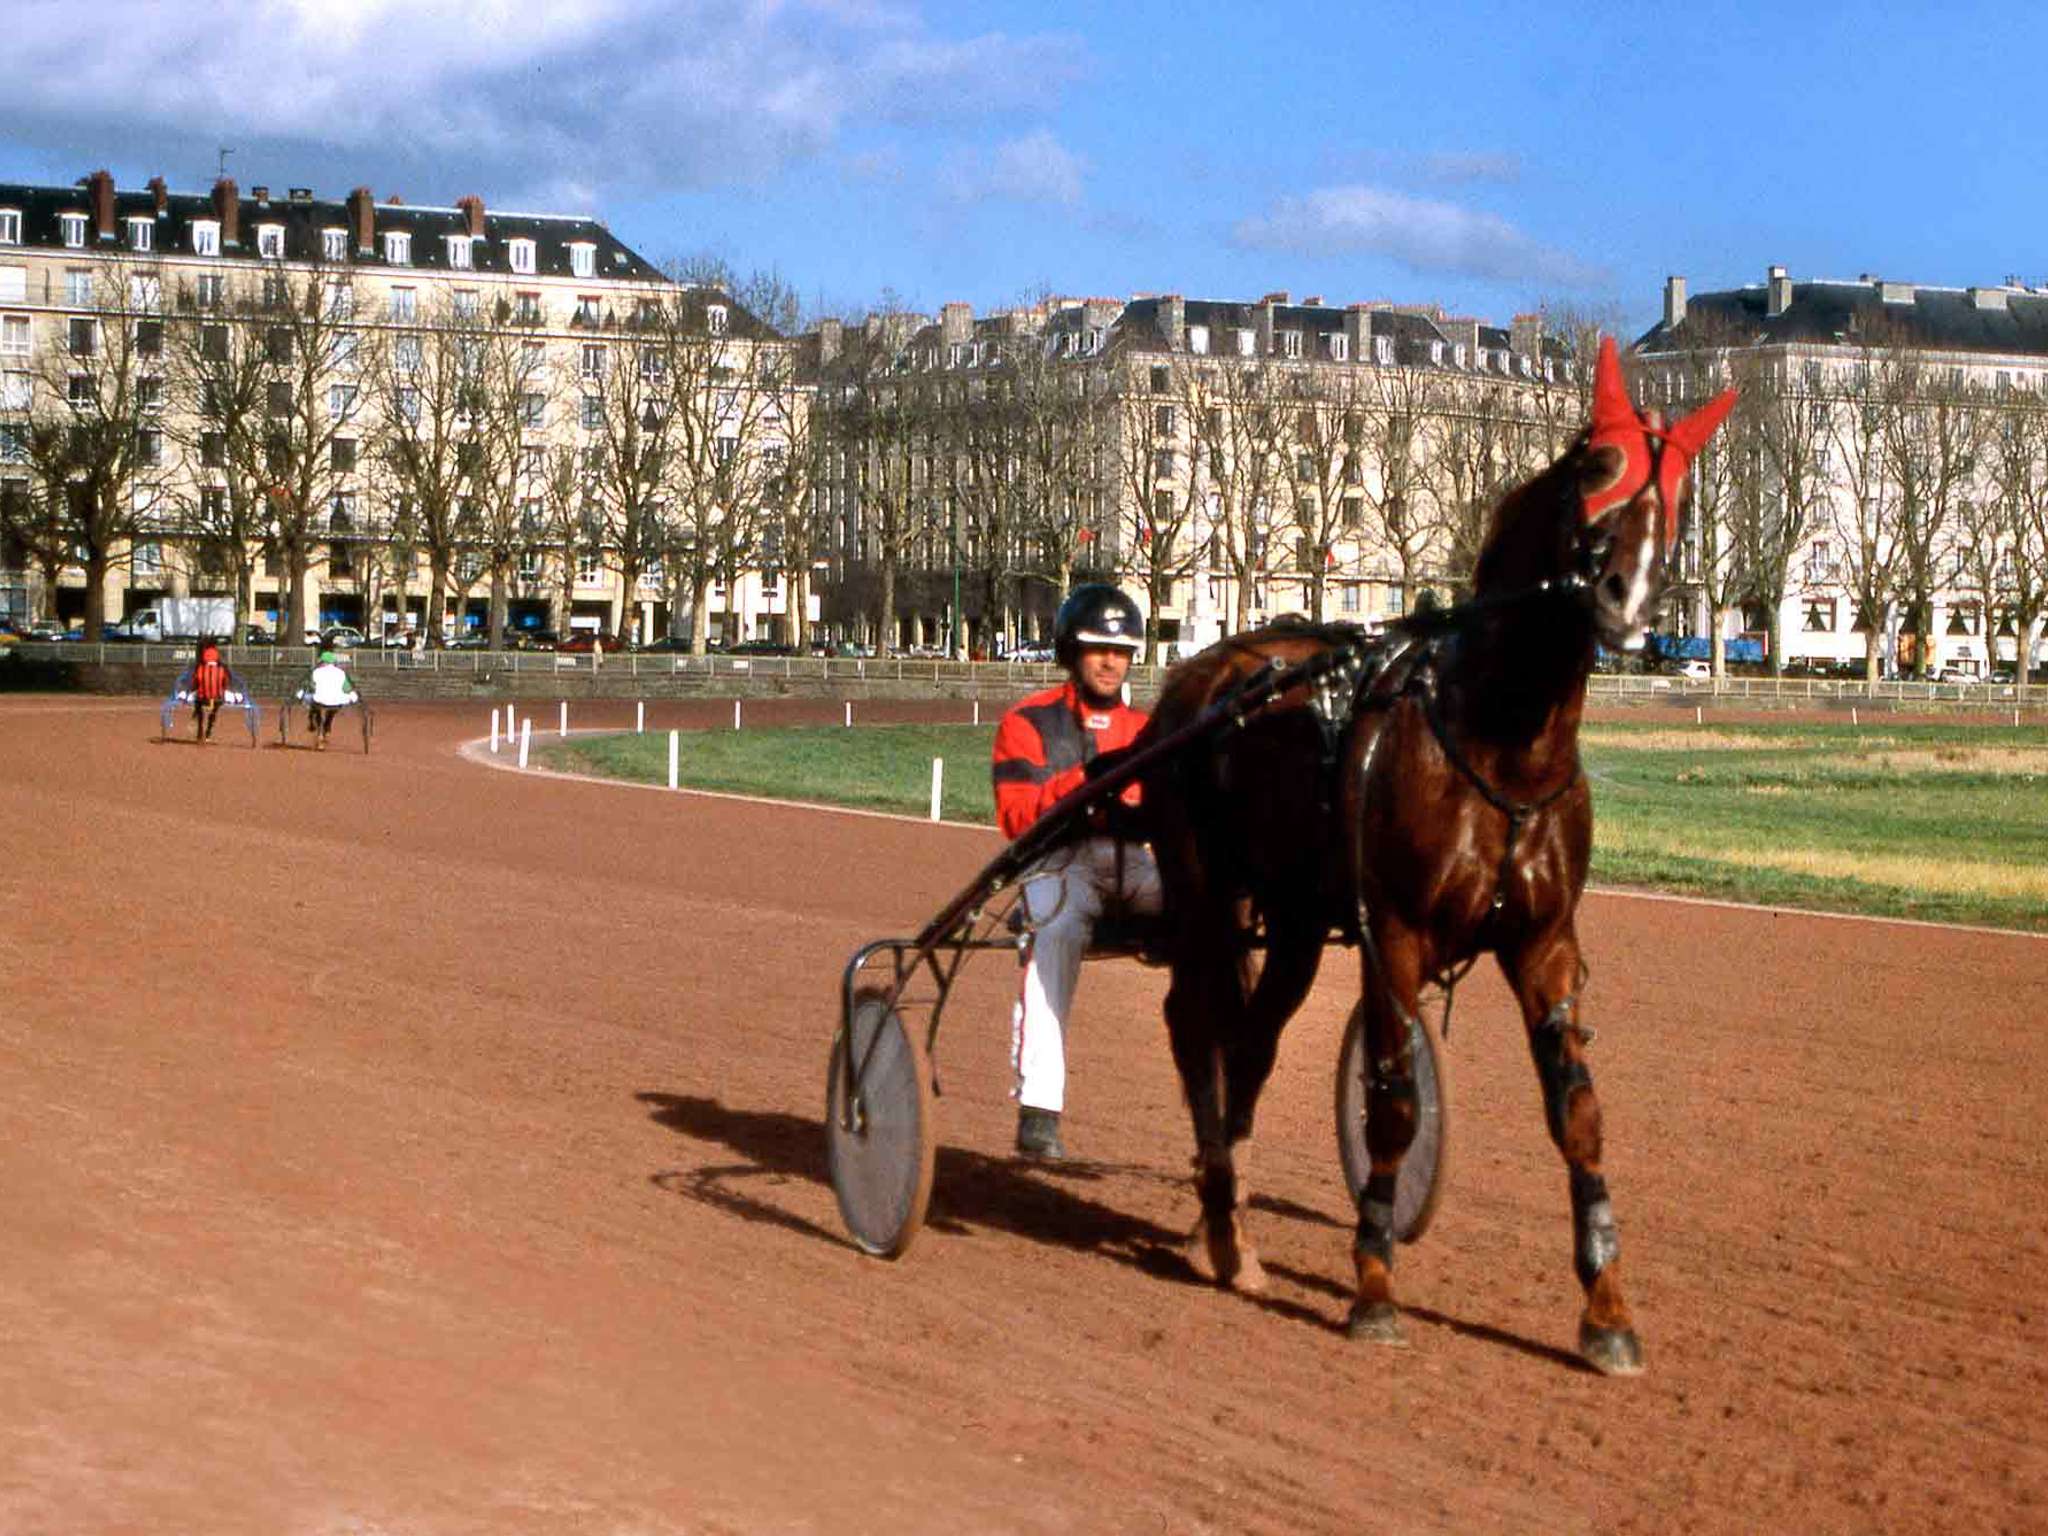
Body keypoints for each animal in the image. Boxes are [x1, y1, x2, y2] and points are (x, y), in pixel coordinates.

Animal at [1138, 342, 1728, 1376]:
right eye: (1595, 467)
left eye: (1681, 488)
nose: (1627, 599)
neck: (1503, 744)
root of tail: (1207, 671)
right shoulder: (1397, 939)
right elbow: (1395, 1106)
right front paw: (1373, 1282)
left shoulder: (1544, 946)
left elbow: (1578, 1114)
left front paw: (1607, 1308)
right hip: (1206, 892)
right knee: (1195, 1022)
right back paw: (1218, 1208)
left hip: (1295, 923)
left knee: (1249, 1041)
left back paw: (1227, 1226)